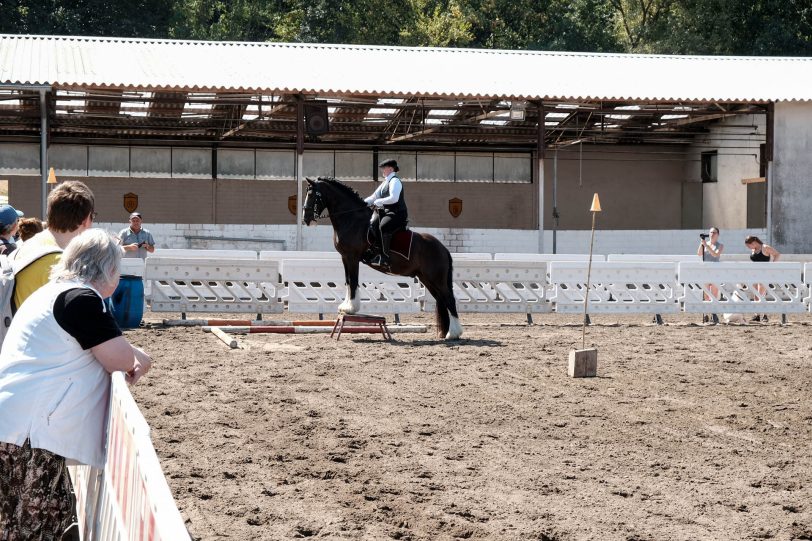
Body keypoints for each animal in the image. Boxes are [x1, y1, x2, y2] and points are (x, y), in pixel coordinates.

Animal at [302, 177, 464, 338]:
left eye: (312, 195)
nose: (306, 219)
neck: (352, 220)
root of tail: (443, 248)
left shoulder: (352, 257)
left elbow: (353, 282)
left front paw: (351, 308)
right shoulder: (345, 258)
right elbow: (348, 281)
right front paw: (346, 306)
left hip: (436, 278)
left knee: (449, 299)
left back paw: (453, 333)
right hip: (427, 278)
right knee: (441, 299)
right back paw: (447, 333)